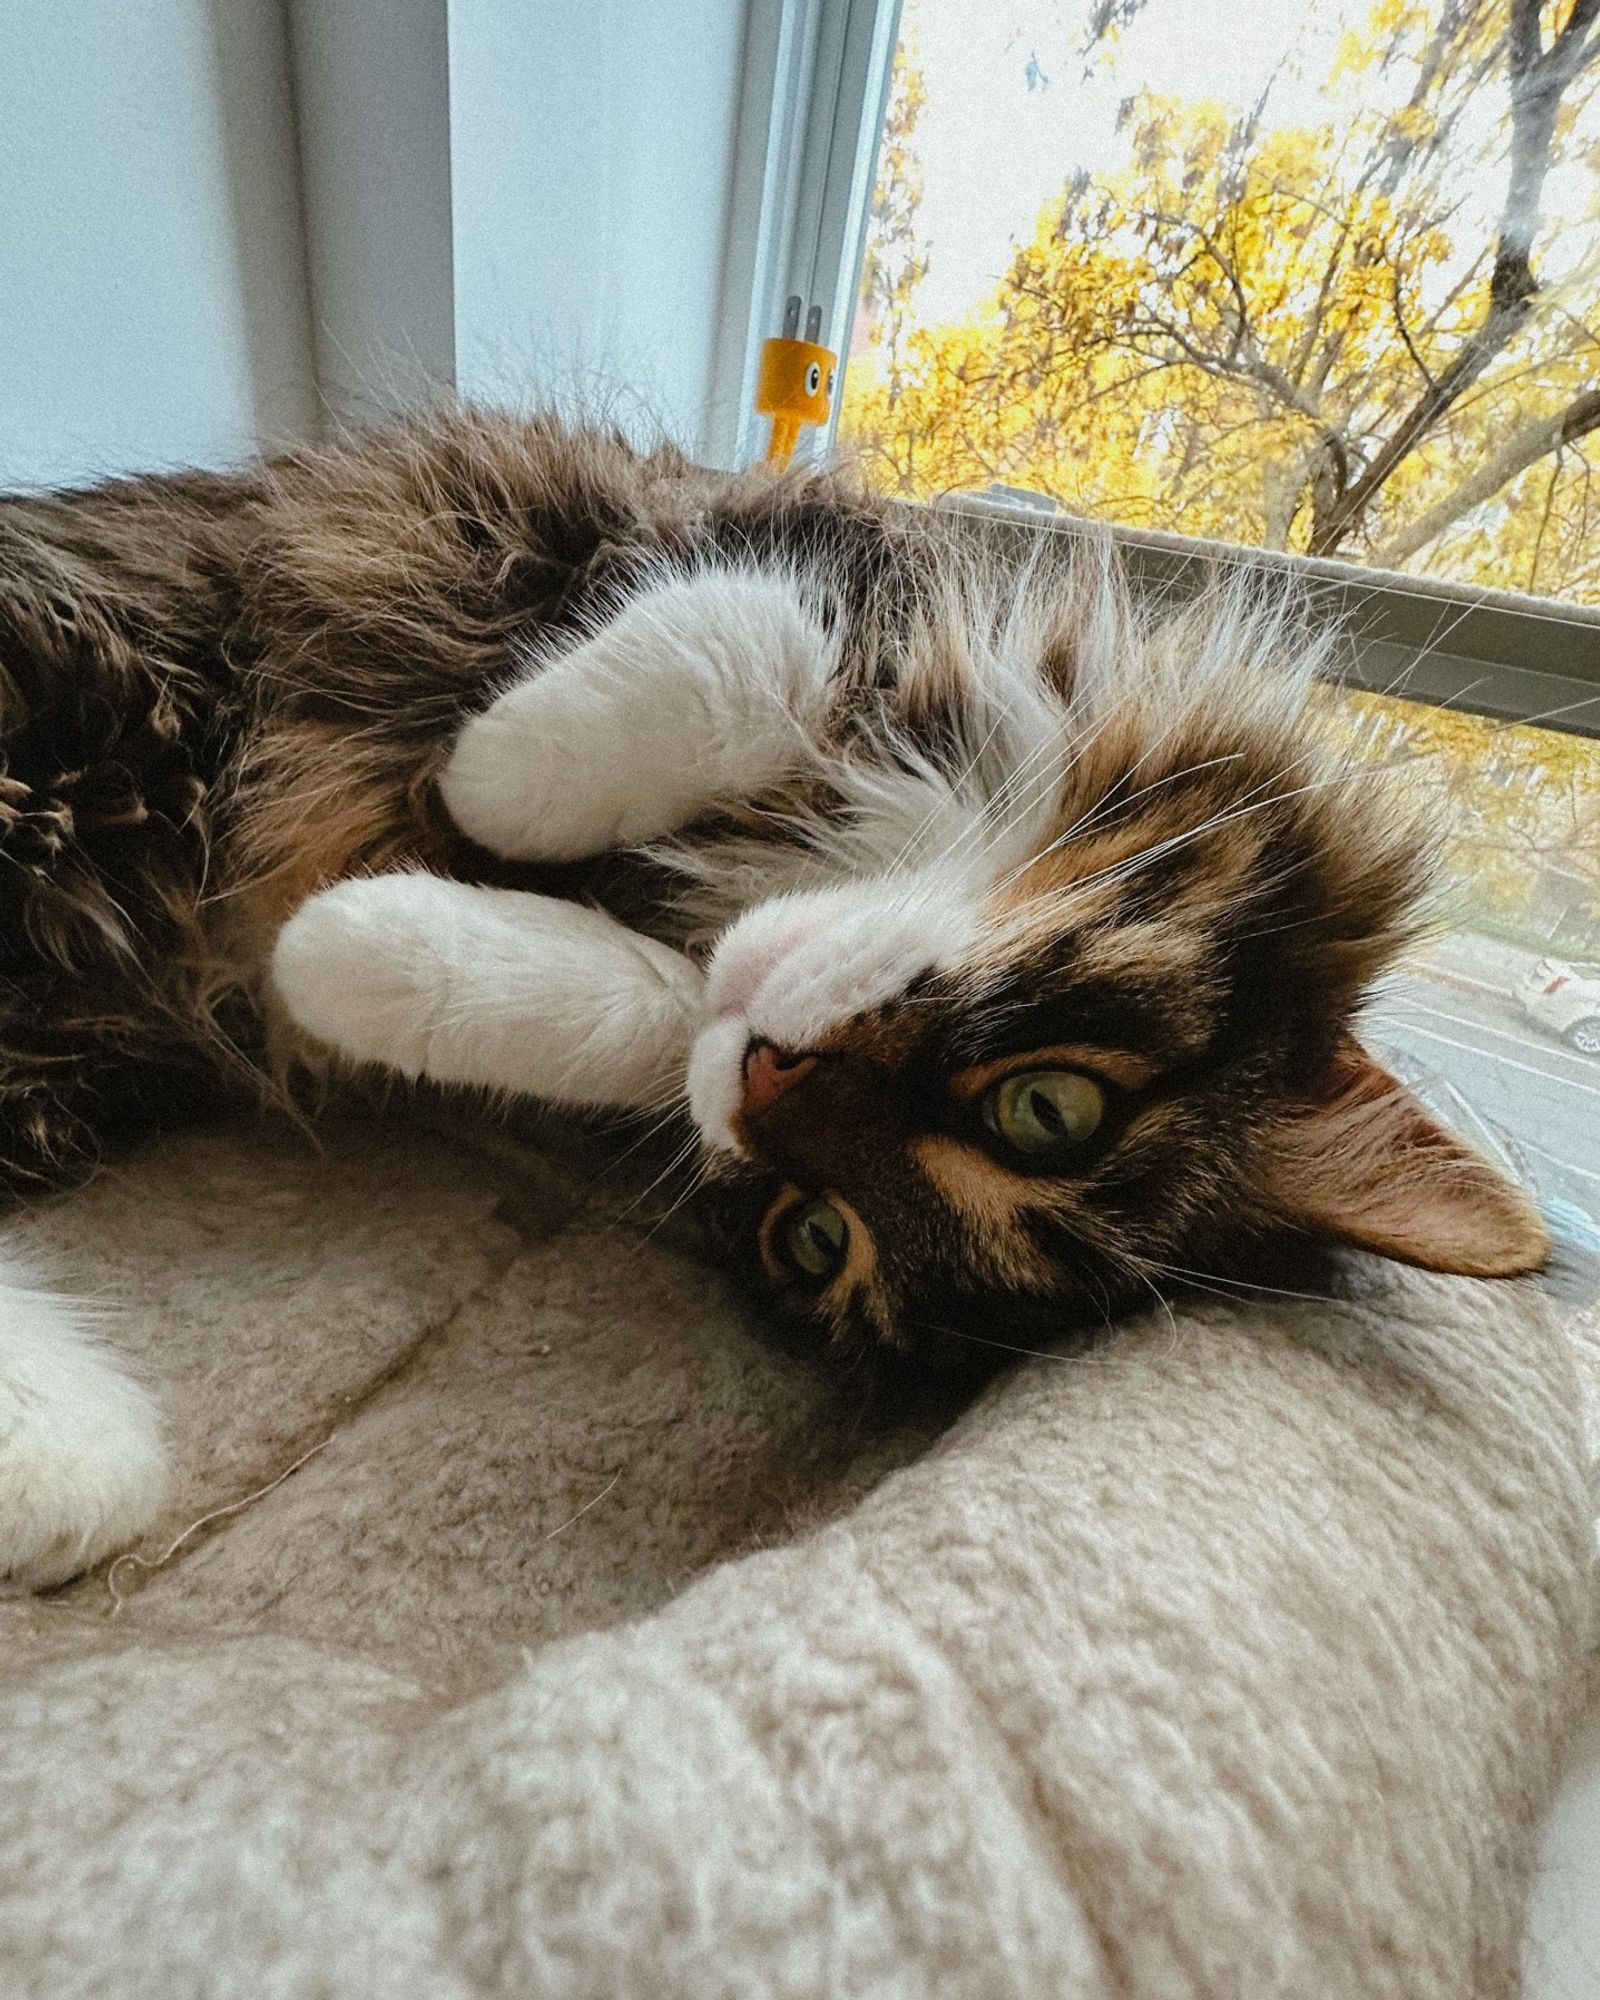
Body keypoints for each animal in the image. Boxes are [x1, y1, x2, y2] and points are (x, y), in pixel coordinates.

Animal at [0, 410, 1552, 1592]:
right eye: (1049, 1108)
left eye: (815, 1236)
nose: (766, 1068)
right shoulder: (796, 541)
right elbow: (754, 648)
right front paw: (496, 774)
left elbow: (631, 1018)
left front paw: (354, 948)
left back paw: (66, 1458)